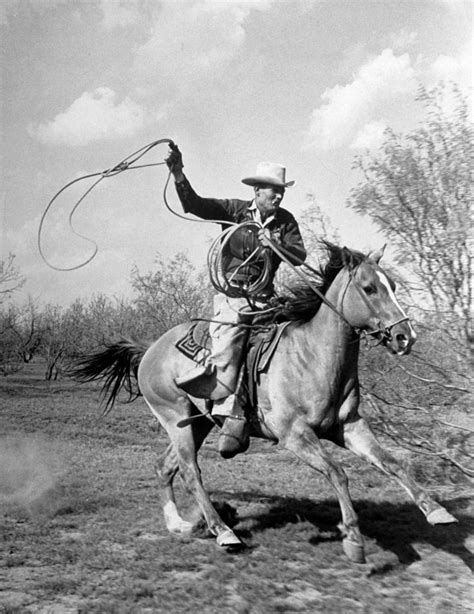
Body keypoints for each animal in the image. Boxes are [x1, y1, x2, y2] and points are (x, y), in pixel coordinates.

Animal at [73, 243, 456, 564]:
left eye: (392, 285)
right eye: (369, 288)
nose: (405, 336)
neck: (313, 356)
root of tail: (151, 347)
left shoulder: (350, 426)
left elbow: (393, 463)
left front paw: (437, 511)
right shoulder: (295, 435)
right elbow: (338, 473)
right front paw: (353, 540)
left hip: (197, 422)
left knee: (164, 467)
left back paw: (179, 525)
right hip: (174, 417)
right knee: (190, 471)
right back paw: (222, 531)